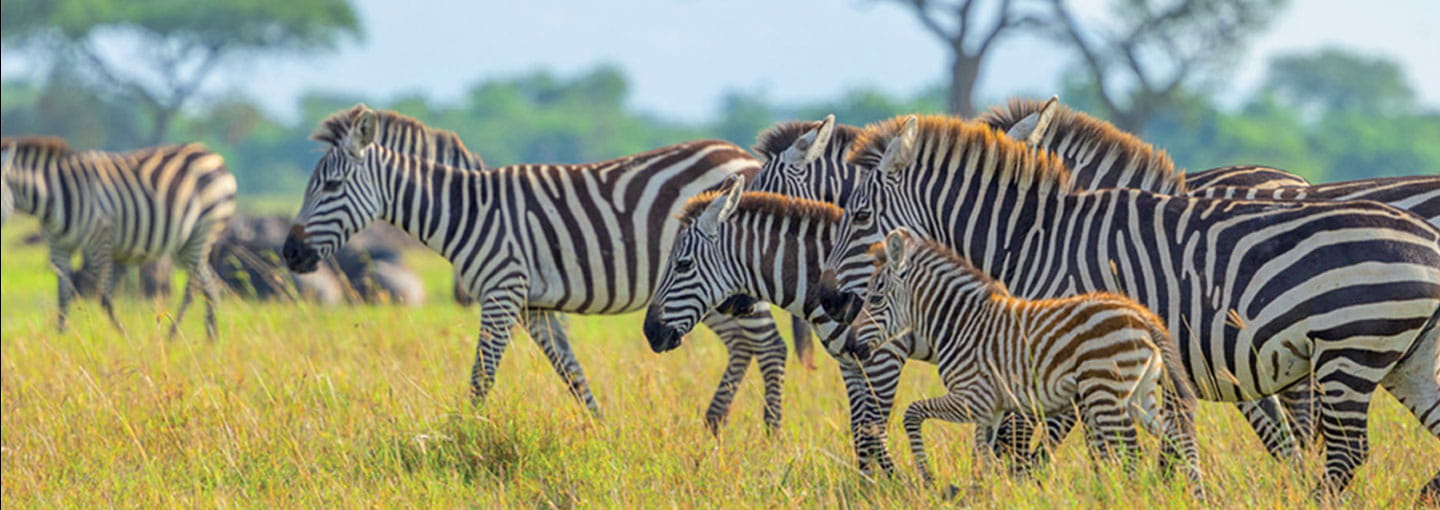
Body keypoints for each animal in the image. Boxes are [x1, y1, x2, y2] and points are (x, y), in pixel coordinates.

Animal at [1, 136, 237, 339]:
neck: (55, 197)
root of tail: (213, 156)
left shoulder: (100, 238)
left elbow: (104, 297)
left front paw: (125, 336)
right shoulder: (58, 246)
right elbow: (63, 295)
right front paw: (60, 338)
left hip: (205, 229)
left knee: (192, 289)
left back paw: (173, 336)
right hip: (186, 243)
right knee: (210, 285)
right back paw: (211, 338)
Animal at [282, 107, 801, 433]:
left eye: (330, 186)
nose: (289, 254)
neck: (469, 212)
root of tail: (748, 156)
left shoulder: (502, 291)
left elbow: (482, 375)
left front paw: (466, 433)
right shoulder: (533, 306)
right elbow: (571, 373)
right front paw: (601, 433)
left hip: (725, 283)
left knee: (770, 347)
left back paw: (770, 437)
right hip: (706, 296)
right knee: (744, 346)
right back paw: (713, 428)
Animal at [851, 228, 1203, 497]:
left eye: (875, 298)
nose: (852, 343)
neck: (960, 323)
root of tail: (1143, 316)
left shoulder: (973, 398)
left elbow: (912, 414)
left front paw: (928, 478)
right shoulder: (990, 410)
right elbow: (982, 455)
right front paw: (980, 494)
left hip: (1105, 391)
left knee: (1131, 451)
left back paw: (1127, 495)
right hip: (1139, 393)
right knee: (1178, 434)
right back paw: (1196, 494)